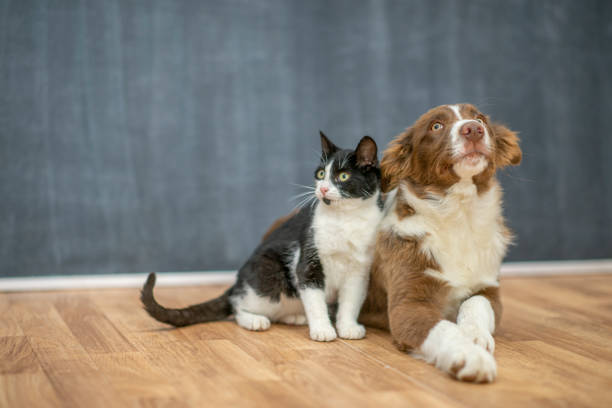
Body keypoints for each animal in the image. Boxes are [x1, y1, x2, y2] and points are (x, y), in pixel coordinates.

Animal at [143, 133, 382, 342]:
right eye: (321, 174)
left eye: (343, 176)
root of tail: (238, 281)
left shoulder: (360, 269)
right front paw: (323, 330)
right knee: (238, 304)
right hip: (269, 275)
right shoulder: (307, 259)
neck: (345, 219)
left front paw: (348, 327)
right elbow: (315, 300)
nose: (322, 189)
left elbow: (351, 300)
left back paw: (295, 316)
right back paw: (254, 320)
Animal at [360, 103, 524, 382]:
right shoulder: (408, 305)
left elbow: (475, 303)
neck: (459, 215)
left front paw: (474, 334)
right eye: (436, 126)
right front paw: (469, 356)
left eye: (480, 118)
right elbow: (442, 328)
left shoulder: (489, 289)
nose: (474, 129)